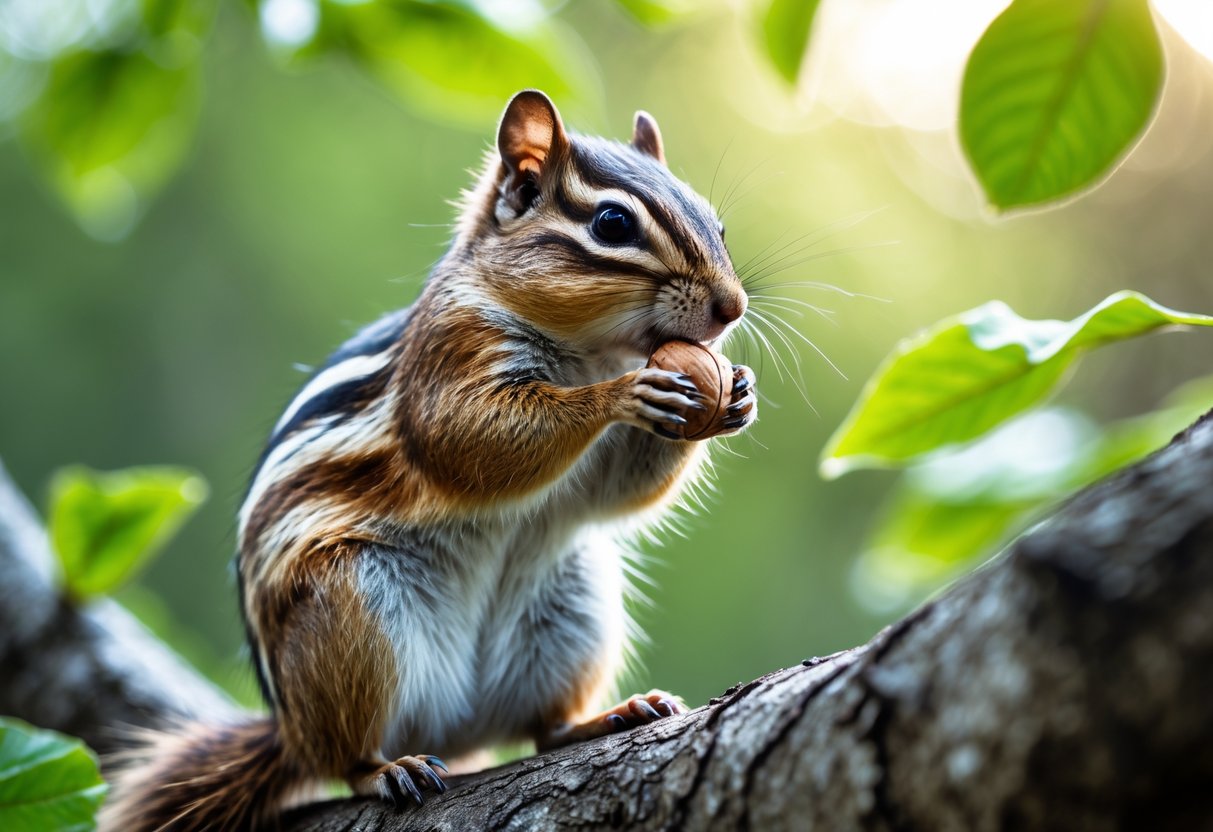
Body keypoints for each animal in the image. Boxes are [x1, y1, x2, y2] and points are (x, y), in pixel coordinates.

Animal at [100, 89, 757, 831]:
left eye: (718, 223)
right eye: (612, 223)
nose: (732, 307)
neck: (592, 349)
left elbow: (622, 491)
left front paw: (736, 393)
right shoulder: (449, 357)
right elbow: (471, 440)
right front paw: (621, 395)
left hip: (571, 608)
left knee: (545, 729)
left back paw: (610, 716)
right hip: (350, 618)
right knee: (344, 757)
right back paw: (387, 768)